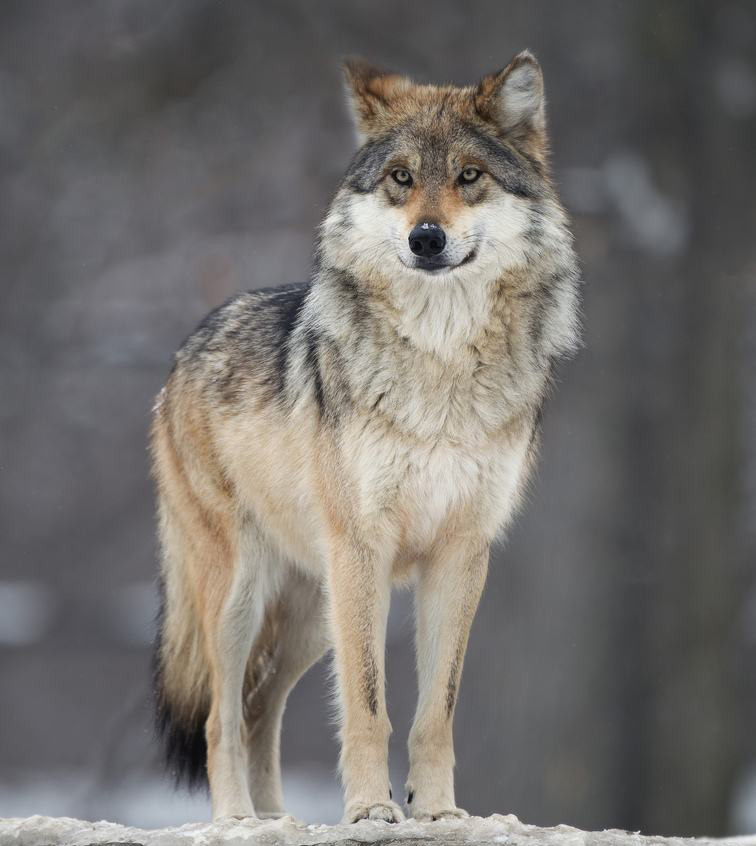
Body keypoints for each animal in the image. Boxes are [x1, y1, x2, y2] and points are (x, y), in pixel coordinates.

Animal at [151, 49, 580, 824]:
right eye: (401, 178)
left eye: (469, 176)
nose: (426, 237)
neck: (440, 366)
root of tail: (183, 352)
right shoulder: (364, 548)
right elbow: (368, 705)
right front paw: (369, 810)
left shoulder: (461, 553)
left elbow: (437, 709)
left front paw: (436, 812)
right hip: (245, 596)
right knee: (220, 717)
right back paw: (237, 820)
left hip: (312, 613)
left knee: (258, 710)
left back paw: (279, 820)